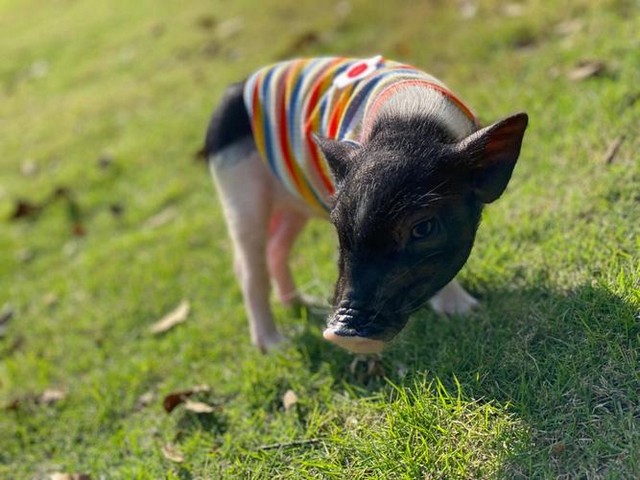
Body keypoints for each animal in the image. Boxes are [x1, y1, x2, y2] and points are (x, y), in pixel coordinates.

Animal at [202, 57, 528, 356]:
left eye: (423, 227)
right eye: (338, 225)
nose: (342, 334)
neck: (408, 127)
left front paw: (468, 313)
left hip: (290, 204)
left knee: (277, 248)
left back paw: (302, 304)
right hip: (237, 187)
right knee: (248, 266)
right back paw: (275, 347)